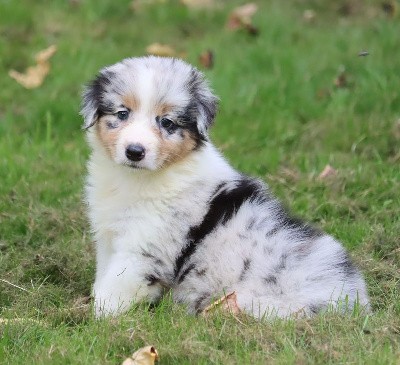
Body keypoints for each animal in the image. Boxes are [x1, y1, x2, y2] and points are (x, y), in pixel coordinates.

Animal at [80, 55, 368, 318]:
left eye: (167, 122)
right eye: (122, 113)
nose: (135, 151)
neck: (137, 179)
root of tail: (354, 297)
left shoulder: (146, 245)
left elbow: (116, 285)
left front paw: (98, 318)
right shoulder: (109, 236)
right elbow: (104, 273)